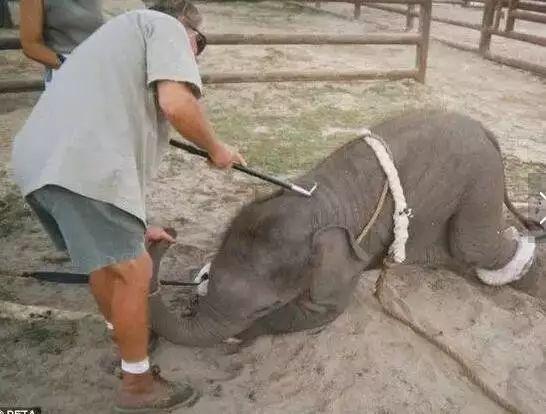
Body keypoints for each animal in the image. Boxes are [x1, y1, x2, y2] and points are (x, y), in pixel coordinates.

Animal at [148, 110, 543, 347]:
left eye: (264, 308)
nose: (168, 233)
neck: (317, 202)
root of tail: (486, 130)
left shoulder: (344, 263)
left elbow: (321, 311)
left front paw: (240, 337)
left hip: (479, 180)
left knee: (476, 246)